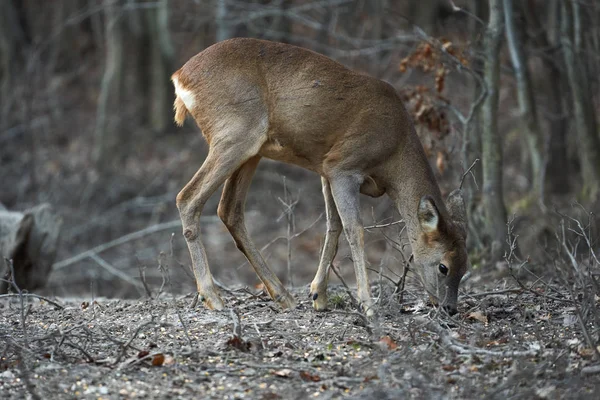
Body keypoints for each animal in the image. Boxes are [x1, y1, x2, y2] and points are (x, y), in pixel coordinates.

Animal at [171, 39, 466, 318]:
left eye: (465, 266)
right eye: (443, 266)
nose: (450, 309)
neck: (394, 152)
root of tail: (180, 76)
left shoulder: (326, 168)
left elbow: (333, 227)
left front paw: (318, 296)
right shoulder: (343, 166)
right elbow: (354, 229)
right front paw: (368, 305)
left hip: (251, 149)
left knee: (229, 209)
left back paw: (283, 296)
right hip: (234, 133)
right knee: (188, 198)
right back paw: (213, 296)